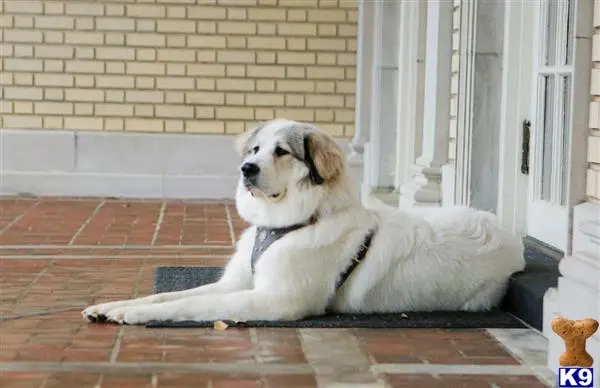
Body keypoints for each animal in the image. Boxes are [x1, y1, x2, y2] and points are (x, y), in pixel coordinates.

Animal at [83, 118, 524, 324]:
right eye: (255, 149)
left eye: (281, 152)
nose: (246, 169)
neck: (290, 223)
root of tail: (510, 235)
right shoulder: (236, 283)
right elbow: (168, 295)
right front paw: (114, 306)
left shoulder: (275, 299)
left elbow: (195, 305)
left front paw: (137, 317)